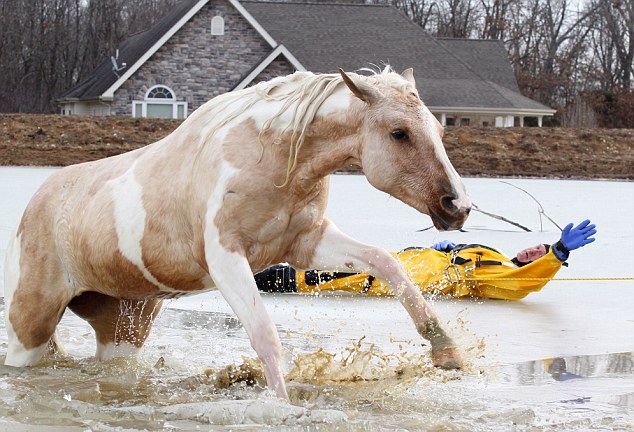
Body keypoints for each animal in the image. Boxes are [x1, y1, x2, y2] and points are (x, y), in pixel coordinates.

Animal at [3, 66, 470, 400]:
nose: (458, 206)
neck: (273, 155)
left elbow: (385, 261)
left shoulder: (306, 244)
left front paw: (446, 351)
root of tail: (32, 209)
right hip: (30, 327)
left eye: (439, 130)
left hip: (123, 327)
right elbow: (265, 336)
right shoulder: (226, 259)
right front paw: (283, 407)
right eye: (399, 133)